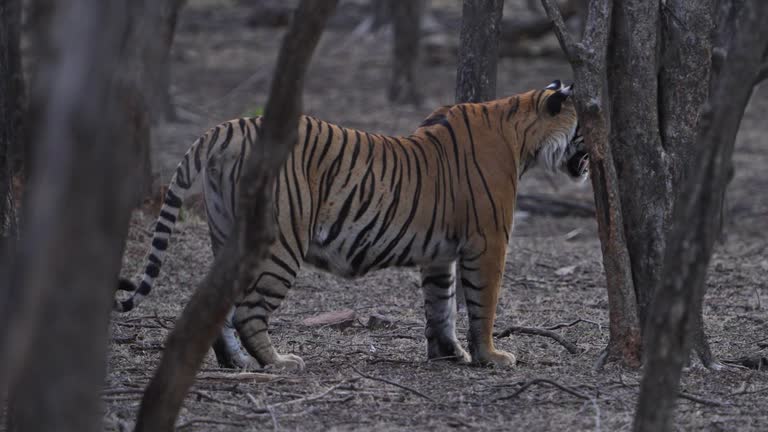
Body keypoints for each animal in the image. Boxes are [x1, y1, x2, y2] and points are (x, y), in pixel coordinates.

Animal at [114, 79, 588, 370]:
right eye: (586, 124)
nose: (594, 158)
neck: (521, 135)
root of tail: (228, 128)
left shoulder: (439, 254)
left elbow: (441, 304)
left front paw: (449, 354)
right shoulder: (488, 242)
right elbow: (481, 304)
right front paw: (491, 356)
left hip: (227, 233)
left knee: (217, 304)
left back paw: (238, 364)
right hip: (279, 242)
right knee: (248, 310)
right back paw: (278, 363)